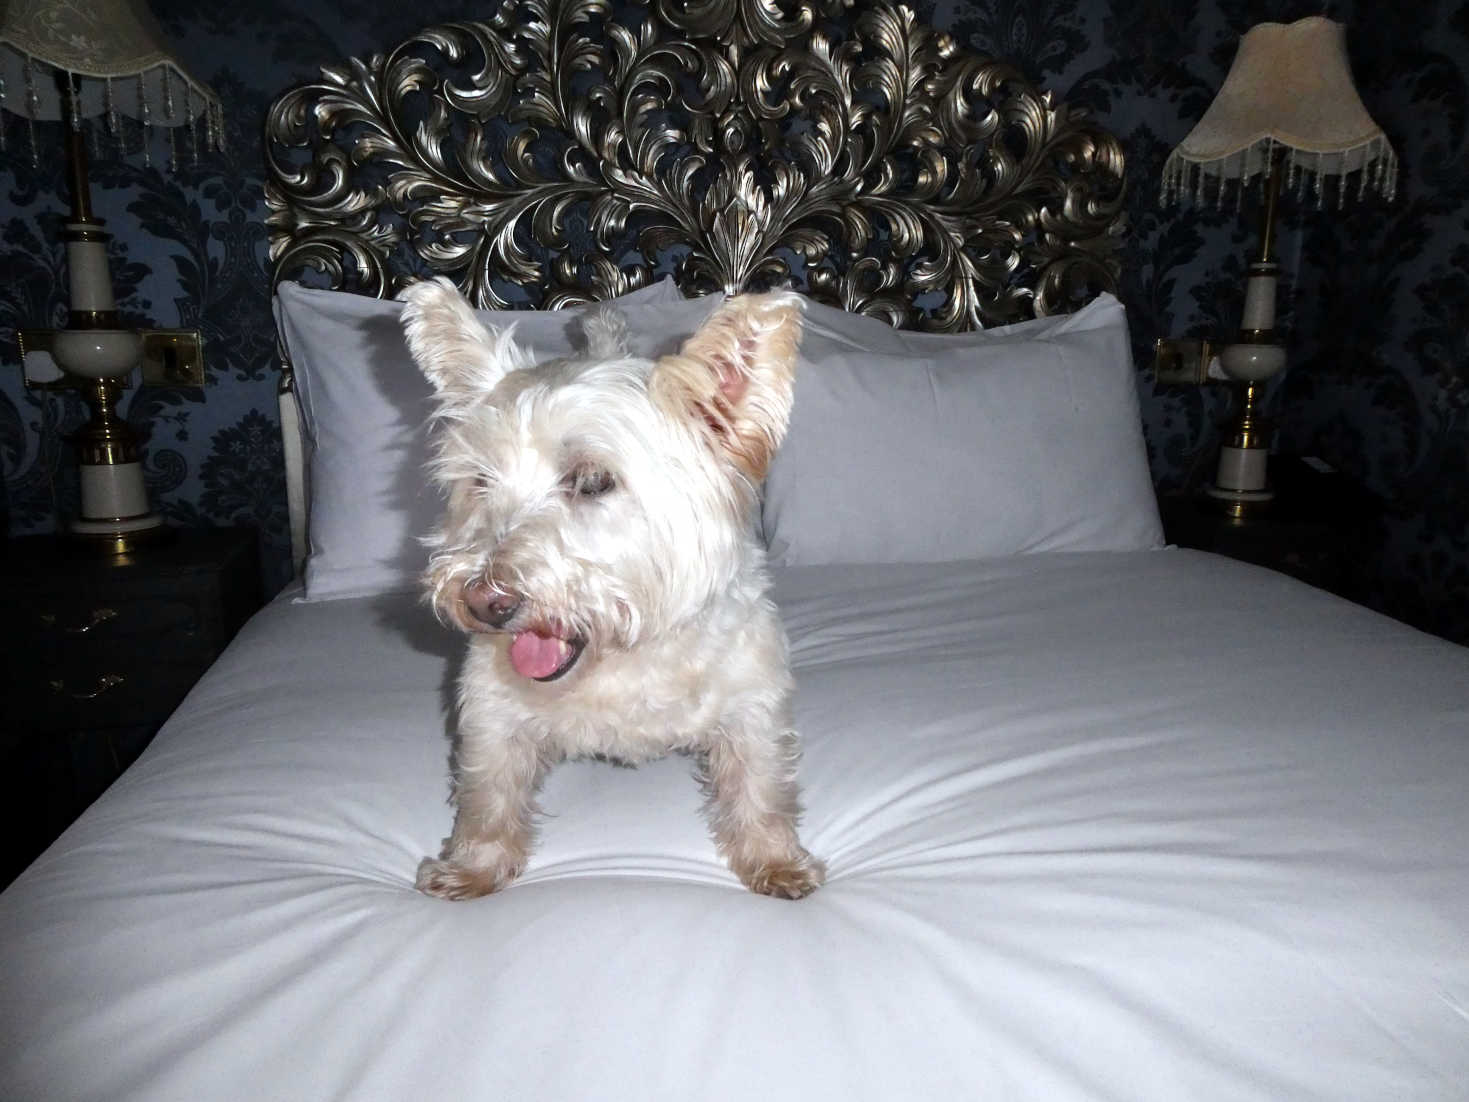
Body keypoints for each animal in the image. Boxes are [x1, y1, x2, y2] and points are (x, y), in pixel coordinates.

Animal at [396, 280, 828, 899]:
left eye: (593, 480)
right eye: (480, 480)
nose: (484, 601)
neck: (625, 653)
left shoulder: (754, 704)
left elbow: (761, 785)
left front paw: (777, 861)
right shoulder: (491, 709)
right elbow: (489, 791)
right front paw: (472, 867)